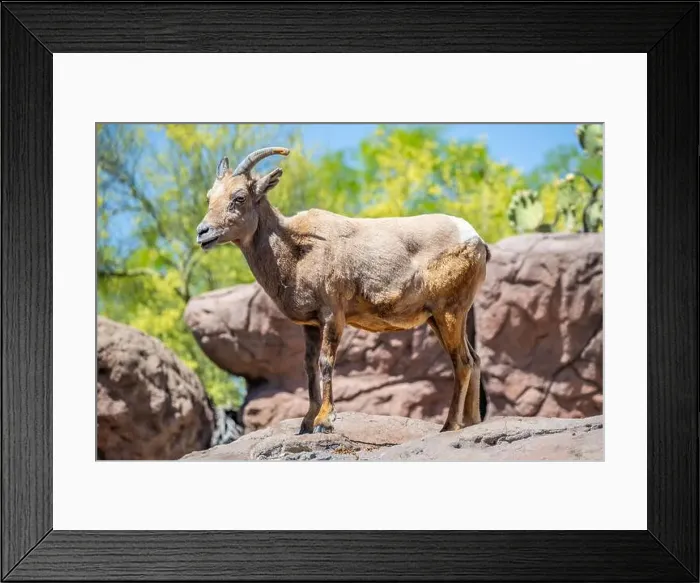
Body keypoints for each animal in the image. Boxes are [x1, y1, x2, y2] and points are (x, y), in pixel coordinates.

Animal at [196, 147, 490, 434]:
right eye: (210, 197)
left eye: (239, 197)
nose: (203, 232)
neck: (298, 252)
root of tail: (477, 240)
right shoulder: (311, 325)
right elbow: (309, 367)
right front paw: (306, 423)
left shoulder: (332, 316)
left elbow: (326, 362)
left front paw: (324, 421)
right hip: (437, 319)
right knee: (474, 360)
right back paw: (471, 422)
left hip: (449, 314)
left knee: (463, 362)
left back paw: (449, 426)